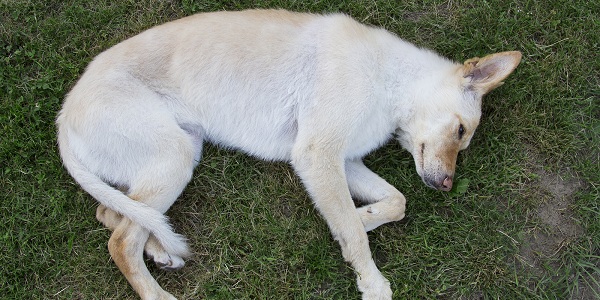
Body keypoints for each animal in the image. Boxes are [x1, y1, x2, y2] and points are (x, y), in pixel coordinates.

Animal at [58, 9, 524, 300]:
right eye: (460, 131)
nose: (446, 184)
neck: (390, 78)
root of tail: (63, 117)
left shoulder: (344, 161)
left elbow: (395, 202)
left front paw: (362, 218)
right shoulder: (318, 156)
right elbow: (356, 231)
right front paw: (371, 280)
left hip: (178, 155)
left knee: (115, 213)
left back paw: (159, 249)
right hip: (173, 155)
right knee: (121, 240)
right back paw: (157, 290)